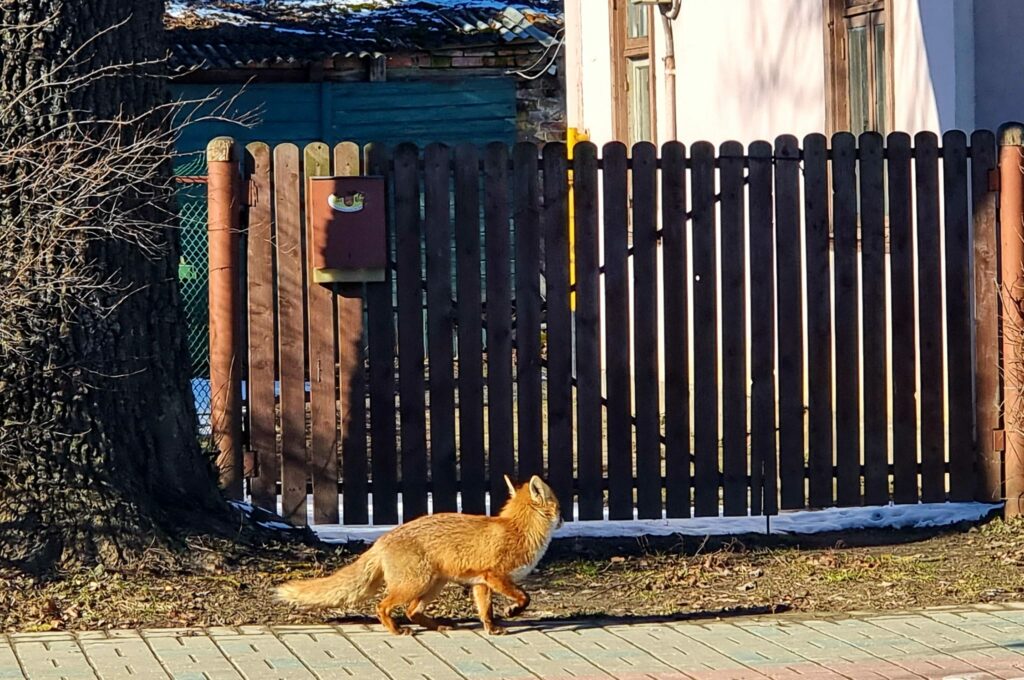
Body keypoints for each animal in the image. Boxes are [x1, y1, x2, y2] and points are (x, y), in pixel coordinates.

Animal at [275, 474, 563, 636]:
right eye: (559, 507)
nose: (563, 520)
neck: (518, 530)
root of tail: (381, 540)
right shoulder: (495, 576)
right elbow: (525, 597)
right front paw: (513, 611)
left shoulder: (480, 583)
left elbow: (485, 612)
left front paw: (492, 629)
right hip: (414, 585)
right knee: (383, 607)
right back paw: (396, 630)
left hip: (432, 586)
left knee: (412, 611)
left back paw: (438, 626)